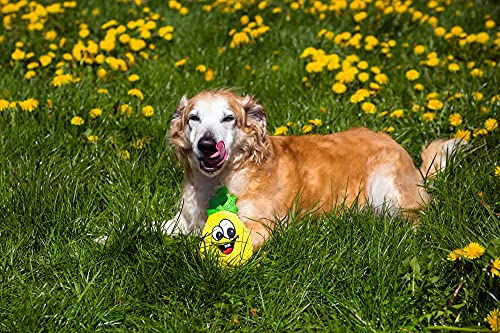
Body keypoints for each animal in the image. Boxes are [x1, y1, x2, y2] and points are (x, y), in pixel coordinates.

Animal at [166, 89, 462, 250]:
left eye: (228, 118)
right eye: (193, 118)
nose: (206, 146)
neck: (218, 181)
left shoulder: (260, 227)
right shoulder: (181, 220)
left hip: (389, 191)